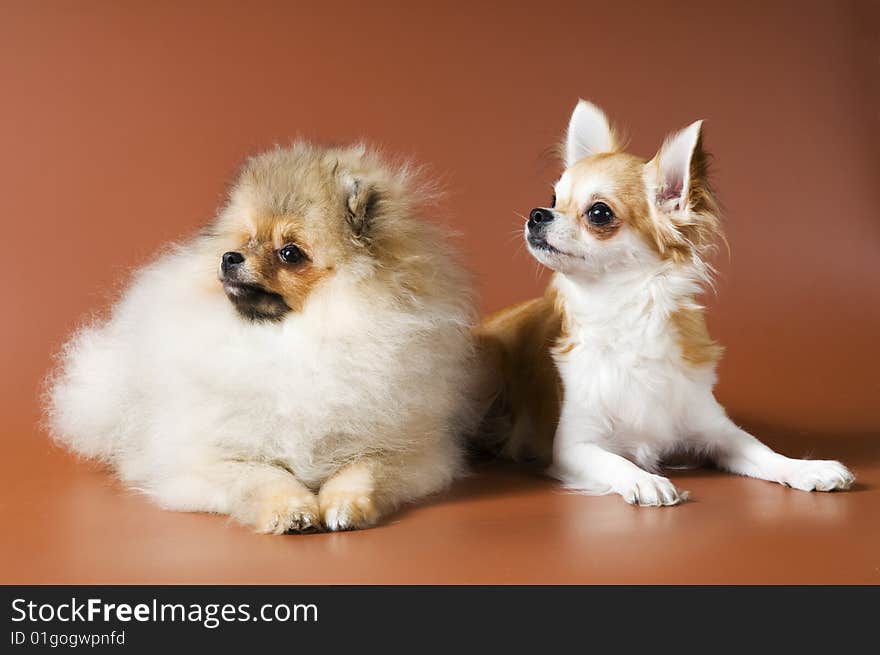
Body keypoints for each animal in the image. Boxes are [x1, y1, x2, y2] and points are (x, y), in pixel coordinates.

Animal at [44, 142, 478, 532]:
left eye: (290, 252)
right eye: (246, 241)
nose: (229, 258)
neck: (297, 340)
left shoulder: (405, 453)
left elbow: (363, 471)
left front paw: (344, 506)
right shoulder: (210, 459)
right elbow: (262, 477)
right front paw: (290, 510)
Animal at [478, 100, 856, 504]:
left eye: (599, 213)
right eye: (553, 200)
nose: (537, 214)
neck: (621, 315)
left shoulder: (719, 432)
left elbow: (764, 451)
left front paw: (806, 468)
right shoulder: (573, 447)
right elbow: (615, 460)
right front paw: (645, 479)